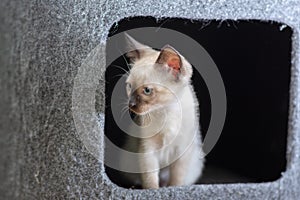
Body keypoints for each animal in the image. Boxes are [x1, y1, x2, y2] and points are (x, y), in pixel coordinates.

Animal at [117, 34, 204, 189]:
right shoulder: (148, 151)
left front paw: (174, 190)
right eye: (129, 86)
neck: (166, 111)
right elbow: (150, 180)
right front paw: (153, 191)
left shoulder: (182, 152)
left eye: (147, 90)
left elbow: (176, 181)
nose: (131, 104)